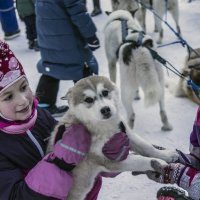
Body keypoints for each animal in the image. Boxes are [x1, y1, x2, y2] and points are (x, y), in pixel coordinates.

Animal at [49, 75, 177, 200]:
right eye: (88, 100)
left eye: (105, 92)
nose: (105, 109)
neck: (105, 127)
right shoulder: (108, 160)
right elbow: (139, 159)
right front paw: (157, 162)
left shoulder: (127, 134)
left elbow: (147, 147)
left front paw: (166, 155)